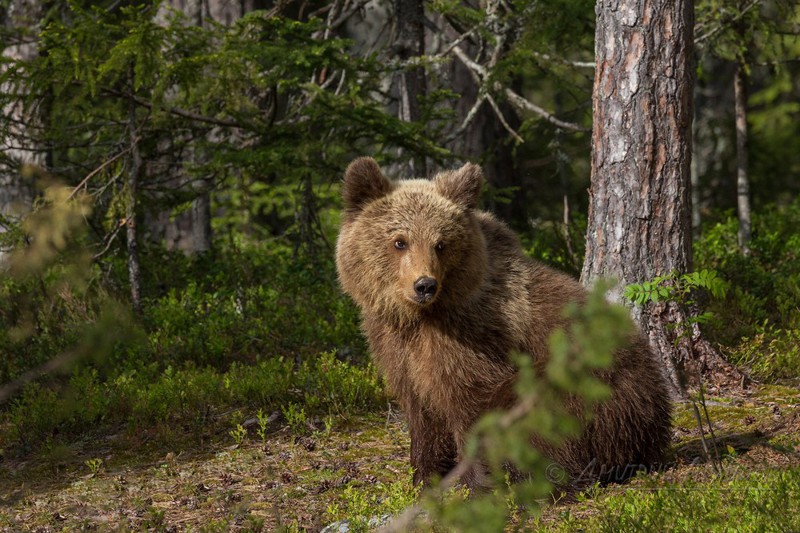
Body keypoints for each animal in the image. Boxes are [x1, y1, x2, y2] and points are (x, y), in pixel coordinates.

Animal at [334, 156, 672, 488]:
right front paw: (423, 476)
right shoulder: (396, 346)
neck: (418, 317)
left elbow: (470, 405)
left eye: (440, 244)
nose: (425, 285)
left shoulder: (471, 340)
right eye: (400, 242)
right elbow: (421, 412)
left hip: (591, 384)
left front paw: (475, 481)